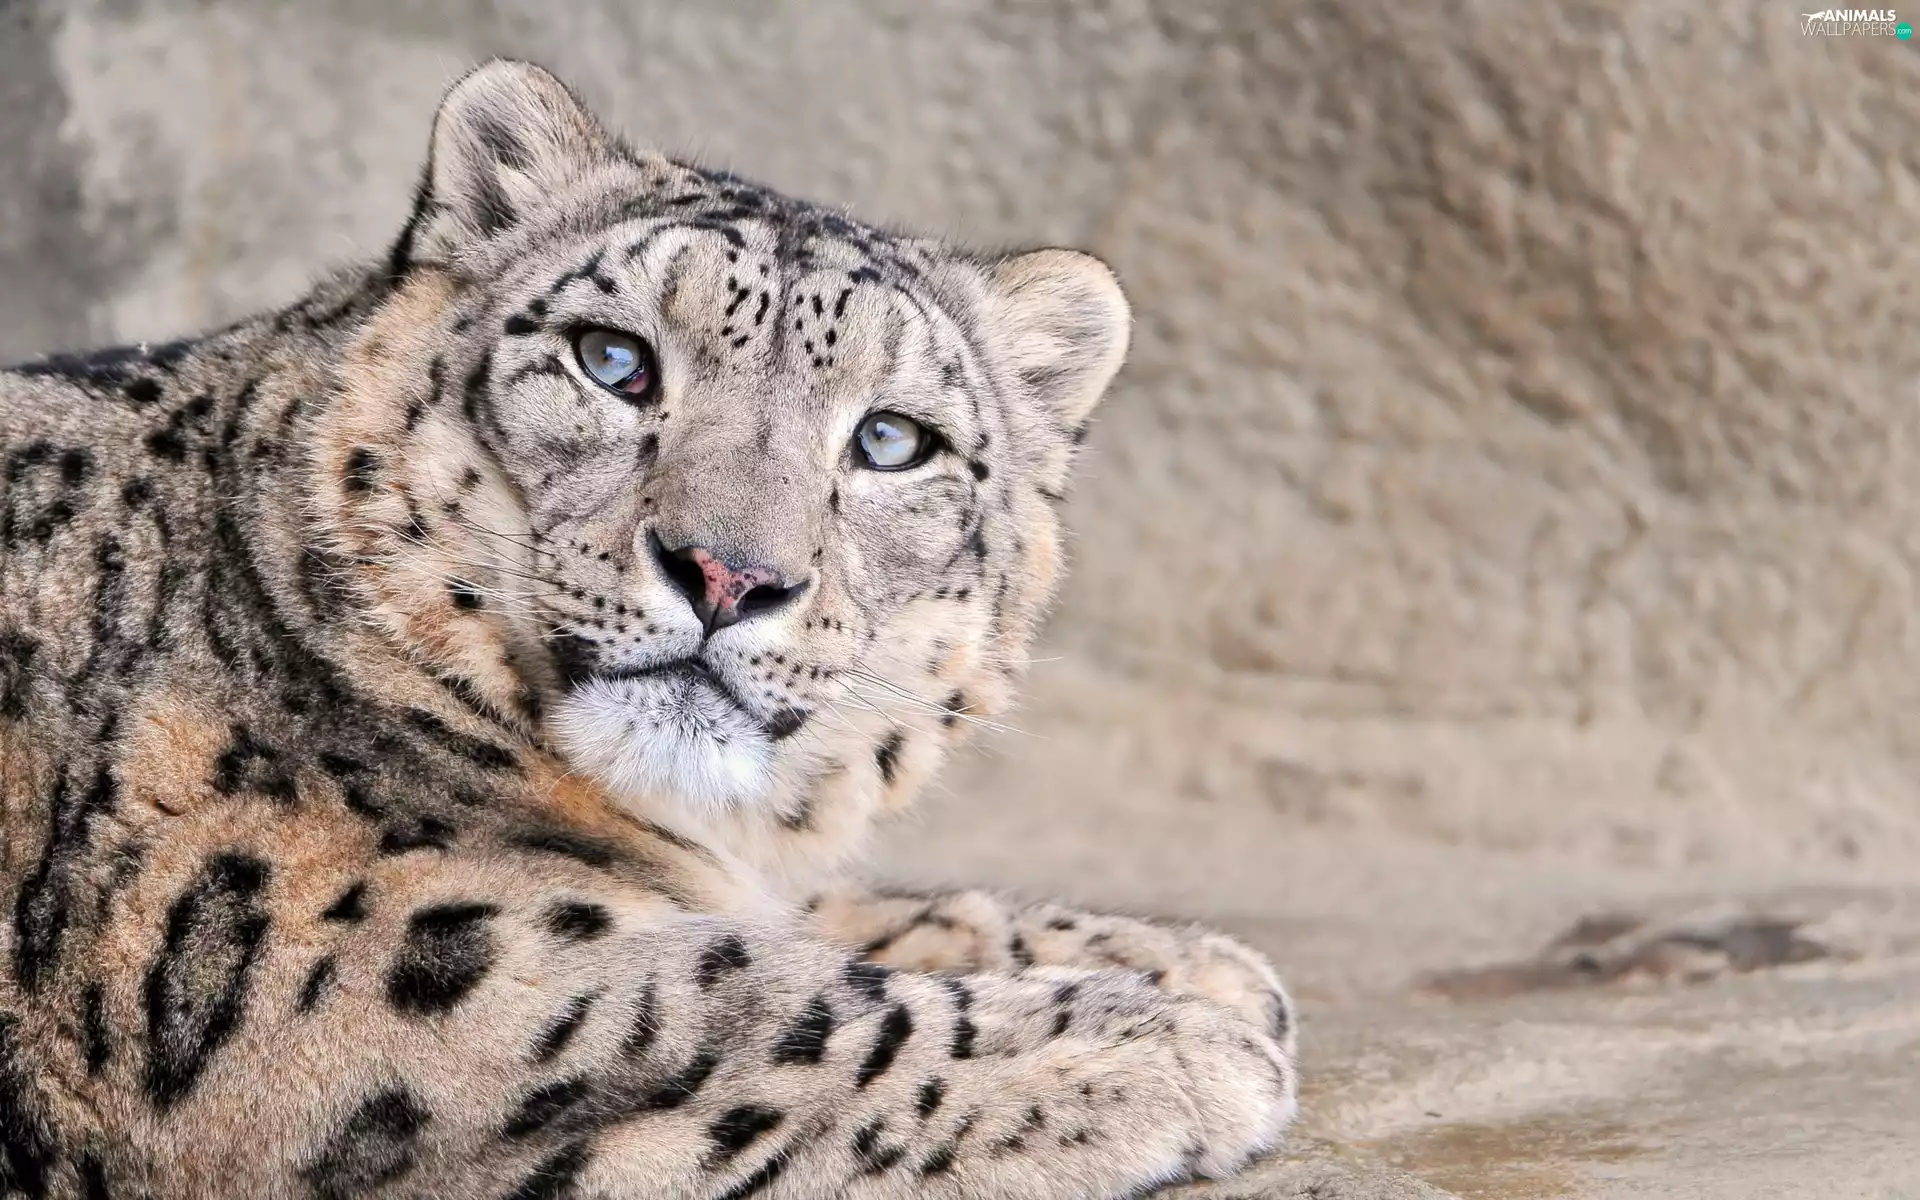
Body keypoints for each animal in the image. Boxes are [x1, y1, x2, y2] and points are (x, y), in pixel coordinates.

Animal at [0, 60, 1296, 1199]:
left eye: (891, 440)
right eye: (613, 358)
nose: (728, 575)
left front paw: (1186, 963)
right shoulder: (350, 969)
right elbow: (736, 1003)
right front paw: (1171, 1037)